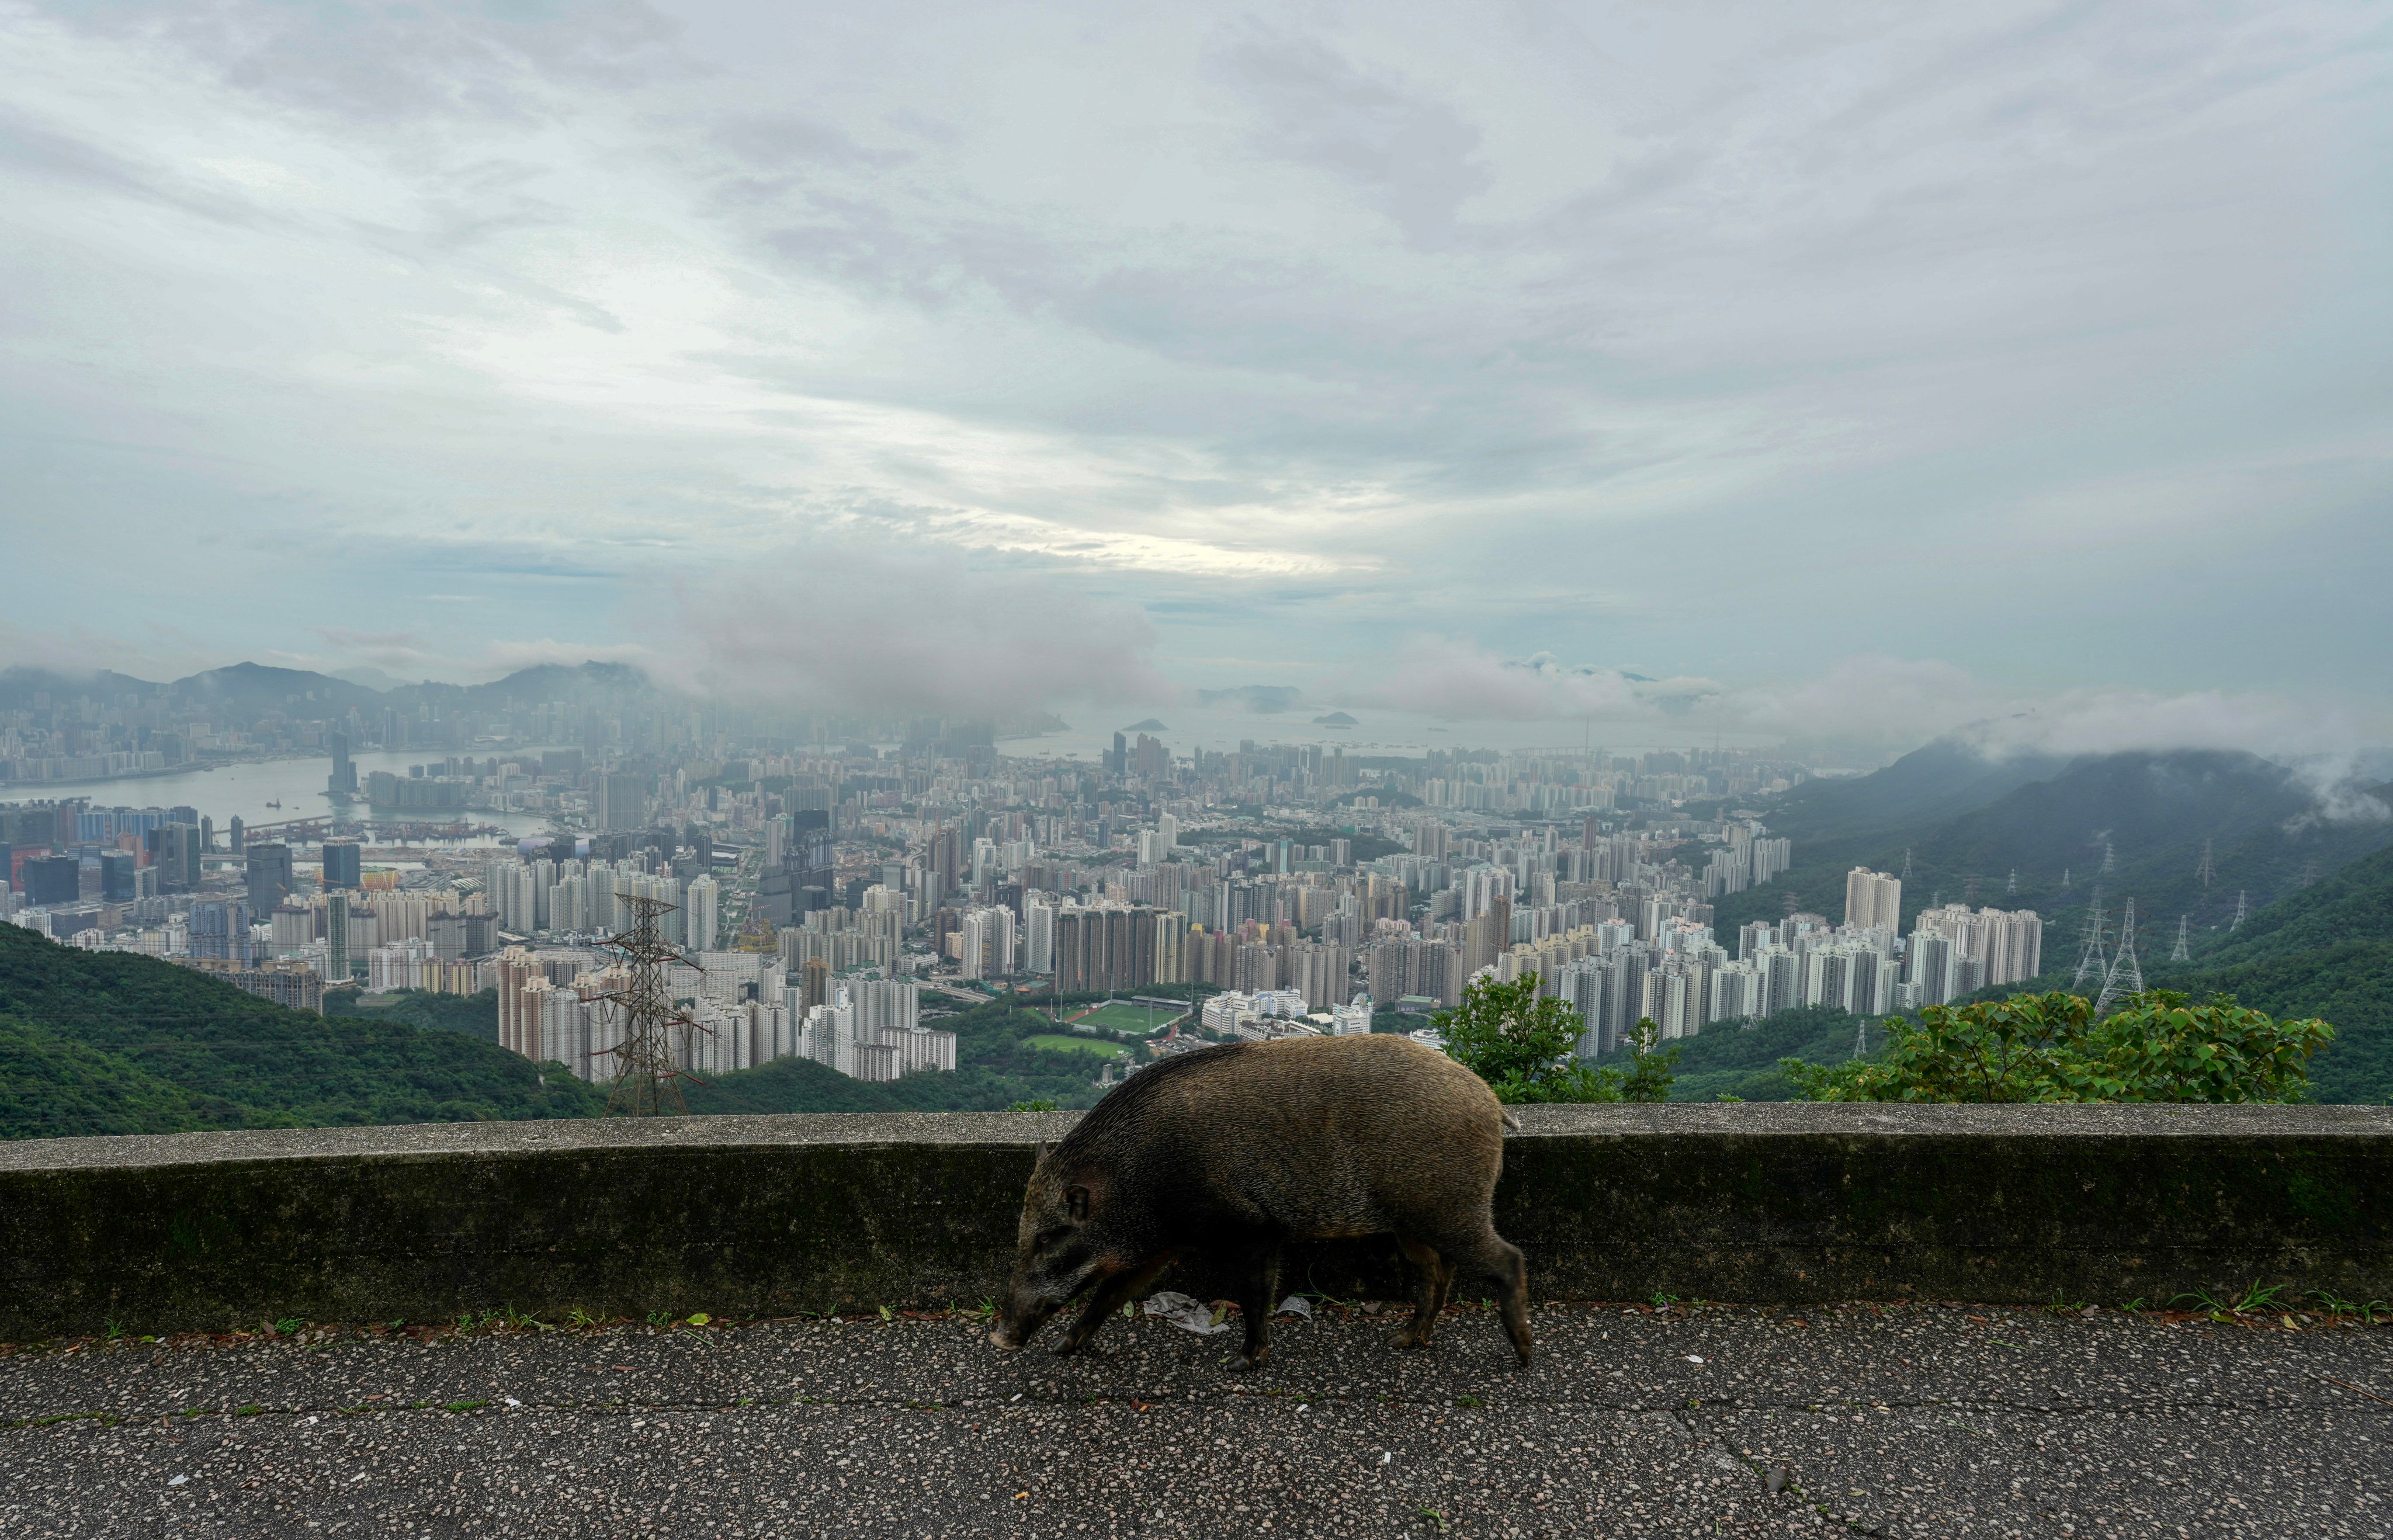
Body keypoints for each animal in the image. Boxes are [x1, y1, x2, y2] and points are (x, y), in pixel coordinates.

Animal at [988, 1033, 1531, 1369]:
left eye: (1049, 1236)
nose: (999, 1337)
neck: (1135, 1178)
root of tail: (1491, 1104)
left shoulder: (1254, 1229)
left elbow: (1253, 1296)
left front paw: (1241, 1364)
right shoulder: (1163, 1245)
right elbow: (1112, 1293)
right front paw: (1064, 1348)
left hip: (1448, 1207)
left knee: (1508, 1258)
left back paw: (1523, 1356)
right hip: (1412, 1223)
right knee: (1440, 1272)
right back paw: (1403, 1341)